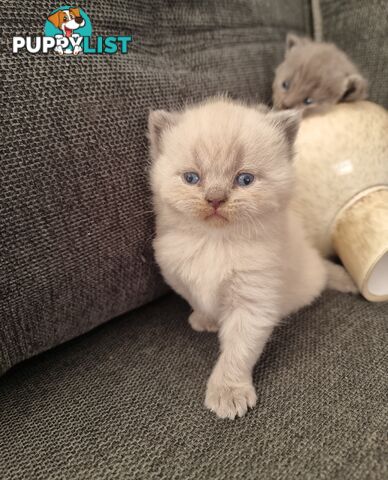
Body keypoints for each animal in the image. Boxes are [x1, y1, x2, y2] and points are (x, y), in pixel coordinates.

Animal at [148, 97, 354, 420]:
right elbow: (197, 300)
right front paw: (205, 320)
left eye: (244, 179)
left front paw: (228, 393)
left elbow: (237, 351)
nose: (215, 199)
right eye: (192, 178)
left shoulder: (253, 302)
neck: (215, 243)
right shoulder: (177, 275)